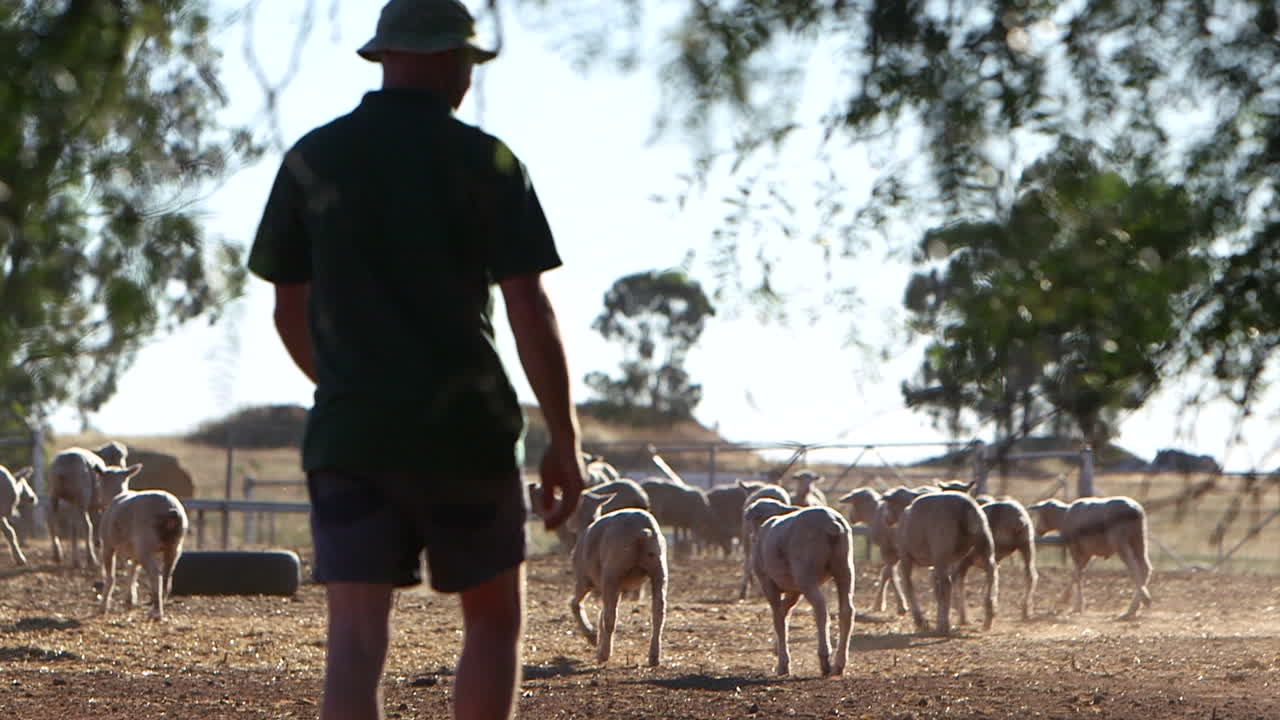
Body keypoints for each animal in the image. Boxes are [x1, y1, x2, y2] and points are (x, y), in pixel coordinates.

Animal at [97, 464, 188, 621]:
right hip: (174, 547)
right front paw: (130, 599)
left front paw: (104, 606)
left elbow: (110, 576)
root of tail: (171, 510)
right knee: (167, 576)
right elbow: (132, 570)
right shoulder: (133, 551)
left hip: (145, 545)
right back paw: (159, 606)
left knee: (156, 576)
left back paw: (156, 613)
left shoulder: (108, 546)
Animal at [568, 494, 668, 666]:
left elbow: (576, 604)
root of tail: (643, 531)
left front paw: (592, 636)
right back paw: (654, 656)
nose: (568, 524)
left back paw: (603, 654)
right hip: (658, 569)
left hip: (612, 572)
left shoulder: (585, 579)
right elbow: (600, 613)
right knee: (658, 613)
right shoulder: (618, 588)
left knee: (610, 617)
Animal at [752, 505, 855, 677]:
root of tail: (832, 523)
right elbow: (784, 612)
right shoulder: (794, 589)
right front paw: (778, 649)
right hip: (844, 567)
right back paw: (839, 664)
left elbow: (778, 619)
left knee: (820, 607)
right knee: (847, 610)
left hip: (805, 572)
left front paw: (783, 664)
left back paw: (824, 658)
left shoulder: (768, 582)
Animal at [895, 491, 998, 634]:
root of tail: (967, 506)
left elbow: (909, 585)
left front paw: (921, 622)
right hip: (985, 547)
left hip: (940, 553)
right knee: (992, 573)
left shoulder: (906, 556)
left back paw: (942, 625)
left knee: (945, 584)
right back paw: (989, 617)